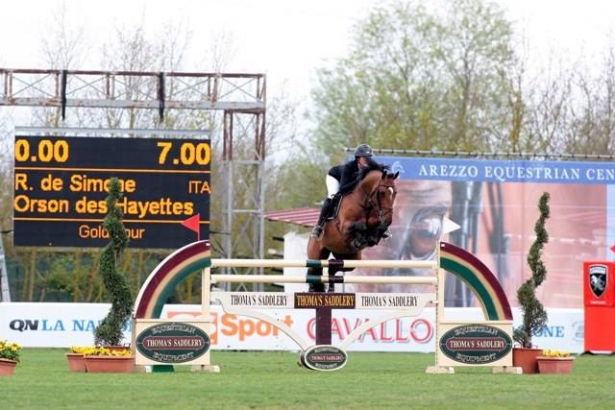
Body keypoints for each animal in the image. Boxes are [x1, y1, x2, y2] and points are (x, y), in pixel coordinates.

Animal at [306, 163, 400, 292]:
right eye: (381, 193)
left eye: (395, 192)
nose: (389, 220)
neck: (364, 202)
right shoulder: (344, 226)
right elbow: (361, 226)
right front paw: (360, 239)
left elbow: (375, 226)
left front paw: (375, 235)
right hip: (316, 256)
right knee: (313, 271)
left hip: (350, 259)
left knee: (332, 267)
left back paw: (331, 288)